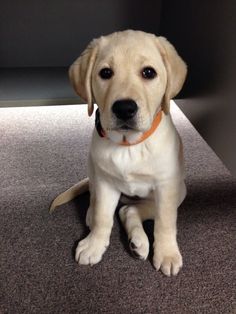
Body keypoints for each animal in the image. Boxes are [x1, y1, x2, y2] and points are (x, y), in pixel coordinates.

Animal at [50, 28, 187, 274]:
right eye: (105, 73)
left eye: (149, 72)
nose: (124, 108)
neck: (129, 145)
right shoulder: (106, 182)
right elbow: (103, 216)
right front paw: (94, 244)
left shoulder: (166, 186)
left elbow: (165, 222)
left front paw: (167, 253)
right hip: (92, 166)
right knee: (102, 201)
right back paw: (94, 216)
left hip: (180, 190)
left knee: (129, 210)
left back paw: (138, 242)